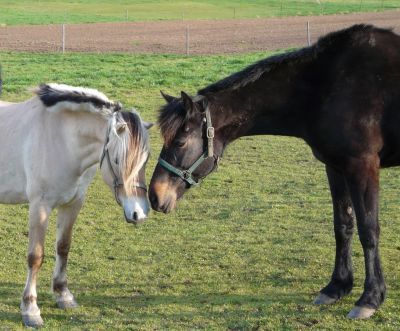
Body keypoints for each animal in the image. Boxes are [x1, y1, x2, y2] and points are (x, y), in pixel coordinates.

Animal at [0, 84, 153, 328]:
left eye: (145, 159)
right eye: (118, 160)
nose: (139, 212)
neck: (62, 139)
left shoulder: (73, 203)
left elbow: (63, 247)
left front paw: (63, 295)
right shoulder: (39, 206)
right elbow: (35, 257)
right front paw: (30, 309)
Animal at [148, 24, 400, 320]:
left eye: (179, 142)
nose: (154, 195)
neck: (326, 85)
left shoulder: (362, 167)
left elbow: (368, 230)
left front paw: (370, 297)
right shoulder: (336, 167)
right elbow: (343, 225)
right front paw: (337, 286)